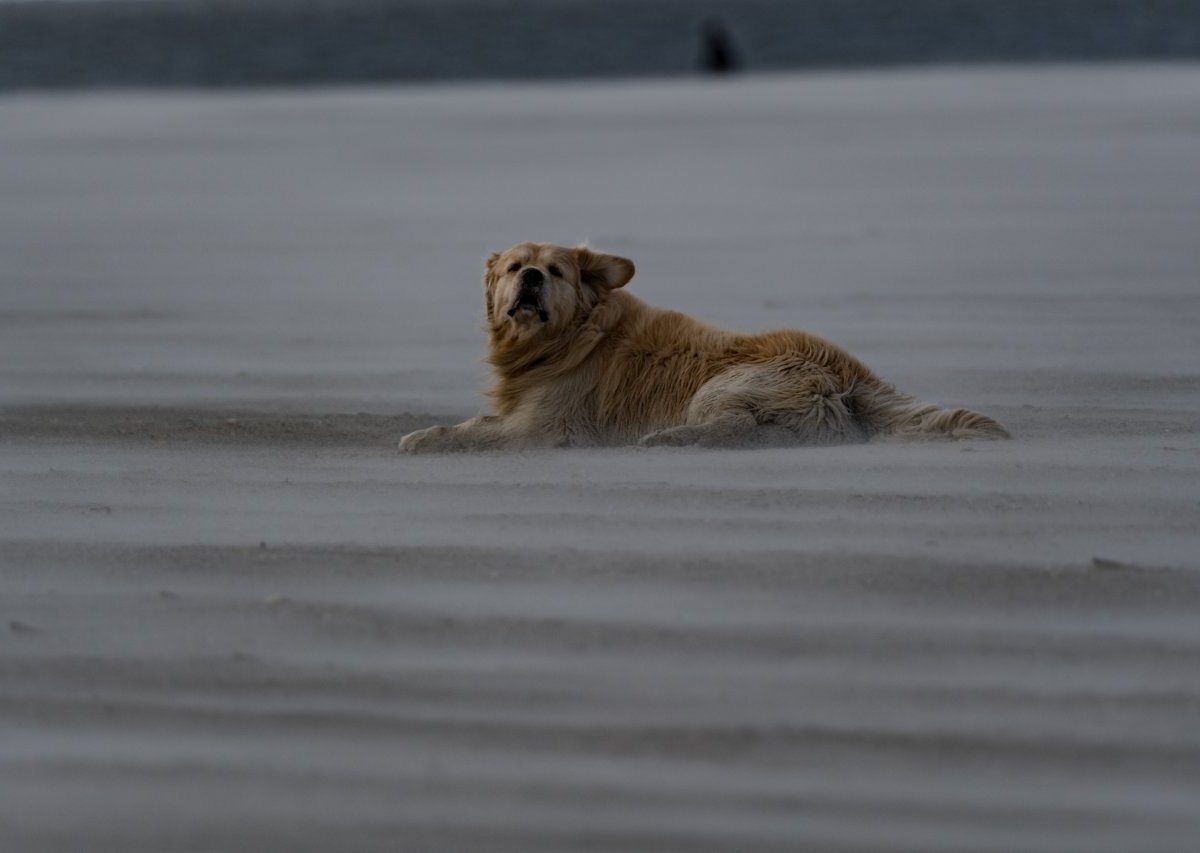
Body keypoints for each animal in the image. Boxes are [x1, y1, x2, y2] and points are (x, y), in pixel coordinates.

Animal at [398, 239, 1008, 453]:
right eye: (513, 267)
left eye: (555, 271)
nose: (529, 278)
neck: (566, 340)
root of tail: (852, 371)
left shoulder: (544, 425)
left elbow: (471, 432)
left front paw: (422, 437)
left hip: (723, 382)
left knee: (733, 424)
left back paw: (668, 439)